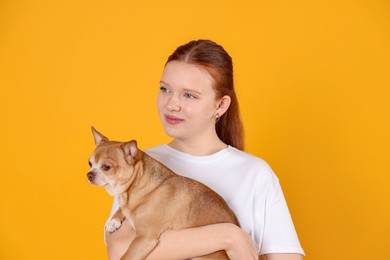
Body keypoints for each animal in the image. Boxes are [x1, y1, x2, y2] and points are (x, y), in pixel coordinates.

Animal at [87, 128, 239, 260]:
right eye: (90, 163)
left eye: (106, 167)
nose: (89, 174)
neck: (134, 188)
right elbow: (122, 208)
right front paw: (113, 221)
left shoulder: (144, 239)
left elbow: (125, 257)